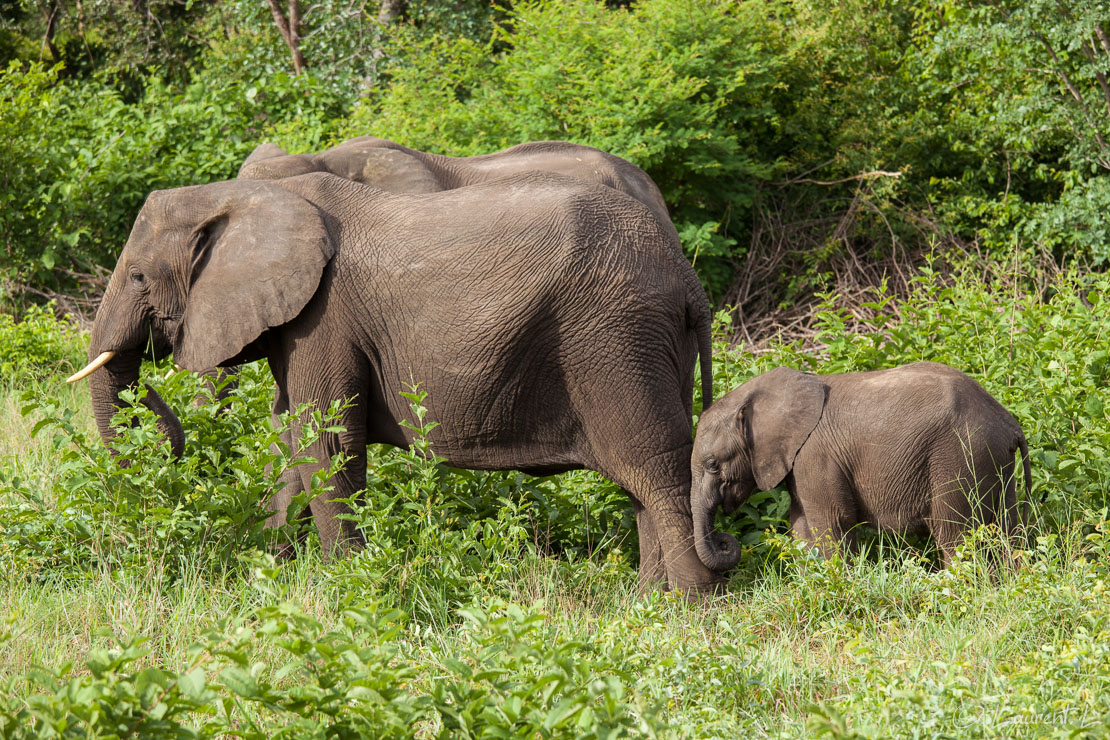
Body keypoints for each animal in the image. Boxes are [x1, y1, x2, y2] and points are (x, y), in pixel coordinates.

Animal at [73, 171, 723, 594]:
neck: (246, 195)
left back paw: (690, 608)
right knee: (641, 476)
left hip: (615, 338)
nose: (166, 429)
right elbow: (292, 441)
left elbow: (328, 442)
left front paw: (346, 583)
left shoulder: (325, 317)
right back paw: (647, 599)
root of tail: (688, 278)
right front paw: (271, 568)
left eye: (138, 277)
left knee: (655, 463)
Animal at [692, 361, 1030, 572]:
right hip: (992, 461)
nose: (725, 541)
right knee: (1006, 527)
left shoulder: (815, 455)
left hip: (960, 455)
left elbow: (832, 522)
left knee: (954, 533)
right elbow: (800, 527)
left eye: (712, 464)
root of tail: (1009, 423)